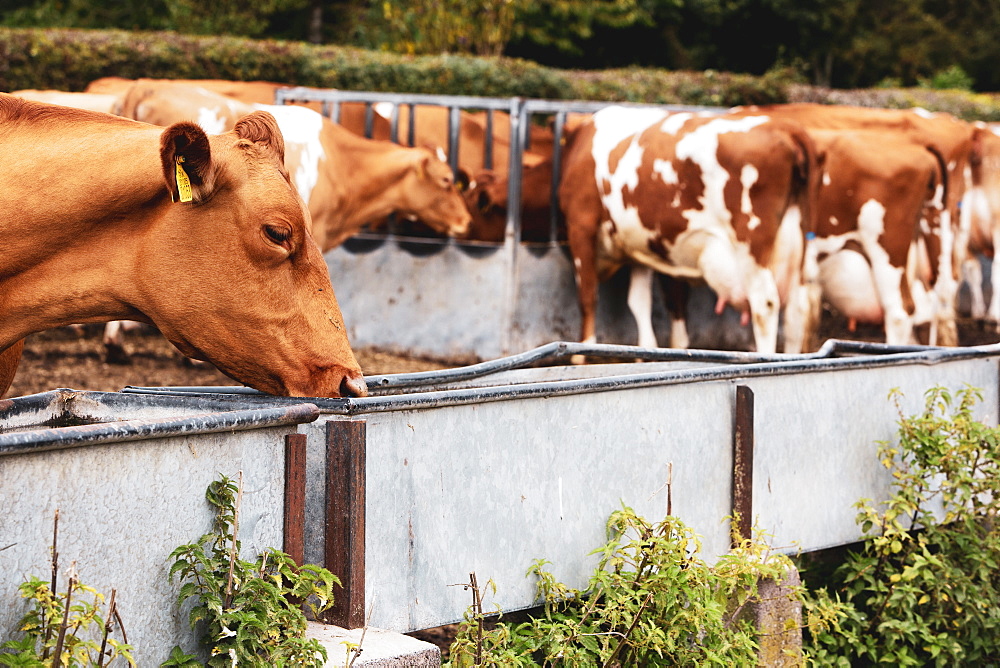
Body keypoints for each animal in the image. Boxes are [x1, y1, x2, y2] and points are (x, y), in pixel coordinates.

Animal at [560, 105, 816, 354]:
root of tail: (786, 128)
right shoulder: (639, 249)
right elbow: (642, 303)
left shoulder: (581, 226)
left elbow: (587, 297)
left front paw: (581, 355)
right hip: (796, 245)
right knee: (797, 311)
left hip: (750, 242)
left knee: (765, 303)